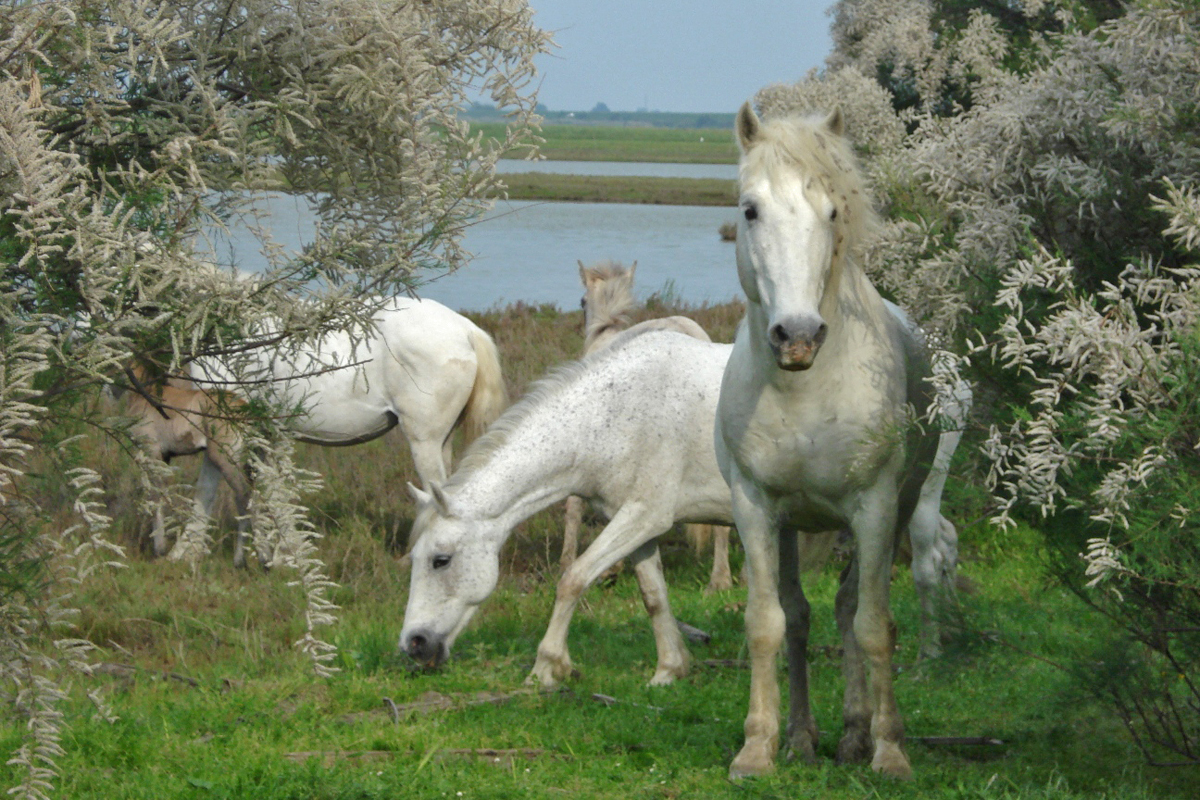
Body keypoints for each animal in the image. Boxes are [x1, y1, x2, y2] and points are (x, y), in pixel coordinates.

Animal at [140, 293, 506, 563]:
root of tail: (466, 329)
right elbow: (270, 490)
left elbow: (208, 486)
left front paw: (184, 551)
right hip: (441, 441)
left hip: (424, 442)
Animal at [400, 326, 964, 690]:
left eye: (441, 560)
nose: (415, 645)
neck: (610, 413)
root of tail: (950, 363)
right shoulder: (638, 524)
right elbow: (654, 596)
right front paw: (670, 669)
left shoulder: (643, 514)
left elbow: (574, 579)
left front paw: (548, 666)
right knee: (946, 545)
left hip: (914, 495)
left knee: (928, 561)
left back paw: (929, 655)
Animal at [710, 103, 936, 777]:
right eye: (749, 209)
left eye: (832, 211)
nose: (799, 336)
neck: (804, 389)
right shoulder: (755, 507)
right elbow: (768, 622)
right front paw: (756, 748)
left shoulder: (876, 506)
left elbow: (873, 624)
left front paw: (889, 751)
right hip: (791, 526)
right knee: (803, 617)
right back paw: (803, 737)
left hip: (891, 513)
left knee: (848, 609)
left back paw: (858, 733)